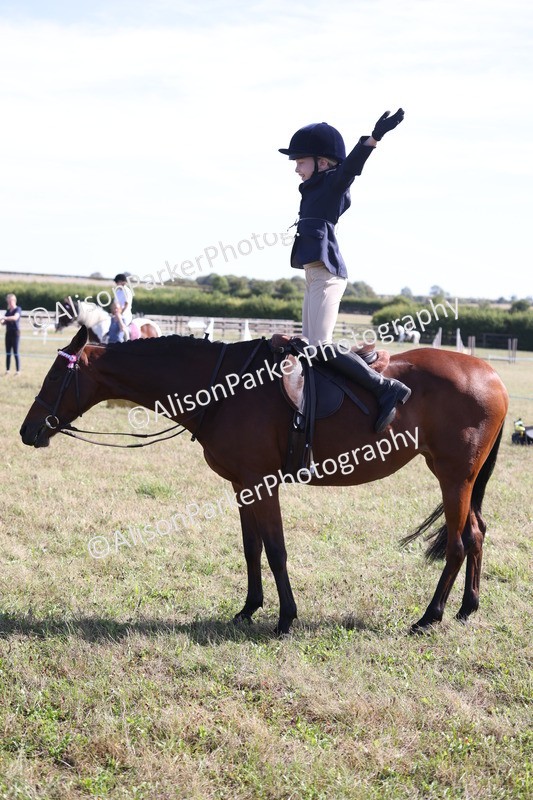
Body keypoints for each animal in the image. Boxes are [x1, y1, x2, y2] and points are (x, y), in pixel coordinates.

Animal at [20, 326, 509, 635]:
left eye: (57, 375)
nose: (27, 431)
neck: (223, 386)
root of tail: (491, 375)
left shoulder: (262, 482)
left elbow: (275, 550)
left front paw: (286, 618)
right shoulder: (242, 484)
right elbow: (251, 547)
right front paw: (249, 608)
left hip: (453, 477)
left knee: (458, 544)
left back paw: (430, 616)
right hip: (461, 481)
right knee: (476, 534)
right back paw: (467, 609)